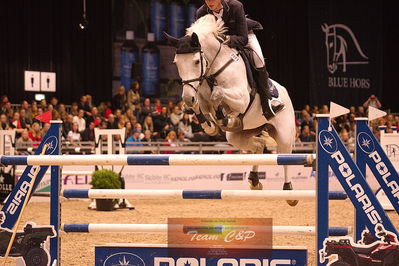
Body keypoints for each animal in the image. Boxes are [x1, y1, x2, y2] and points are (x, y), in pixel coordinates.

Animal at [164, 14, 298, 206]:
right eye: (176, 63)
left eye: (196, 61)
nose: (187, 96)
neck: (213, 70)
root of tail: (286, 93)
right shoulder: (200, 98)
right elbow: (200, 106)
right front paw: (210, 125)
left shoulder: (241, 99)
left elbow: (217, 95)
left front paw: (224, 118)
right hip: (240, 136)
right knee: (259, 146)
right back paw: (254, 181)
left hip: (284, 134)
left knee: (285, 158)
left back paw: (289, 192)